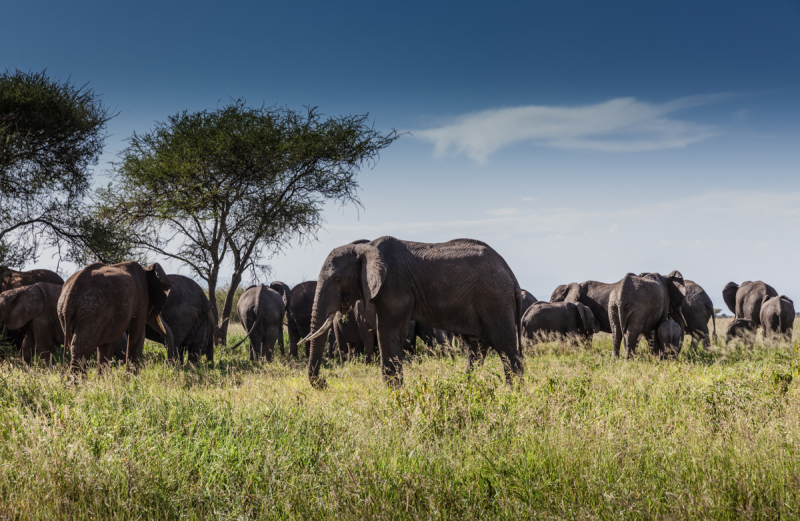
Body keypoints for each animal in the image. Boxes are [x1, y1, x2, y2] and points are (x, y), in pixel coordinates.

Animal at [300, 236, 524, 386]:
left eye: (337, 280)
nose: (324, 383)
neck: (364, 248)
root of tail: (511, 275)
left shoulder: (393, 287)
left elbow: (387, 333)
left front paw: (394, 395)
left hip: (495, 300)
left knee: (505, 347)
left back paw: (513, 394)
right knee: (477, 348)